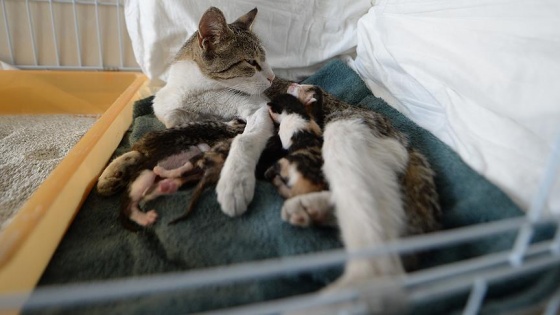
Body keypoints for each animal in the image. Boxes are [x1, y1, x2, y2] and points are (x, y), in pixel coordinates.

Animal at [100, 7, 442, 292]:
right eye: (251, 63)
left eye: (266, 60)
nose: (273, 76)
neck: (194, 94)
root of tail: (404, 138)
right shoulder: (177, 121)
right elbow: (156, 139)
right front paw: (117, 169)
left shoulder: (255, 111)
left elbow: (243, 140)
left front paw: (234, 183)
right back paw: (308, 210)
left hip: (344, 135)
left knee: (373, 231)